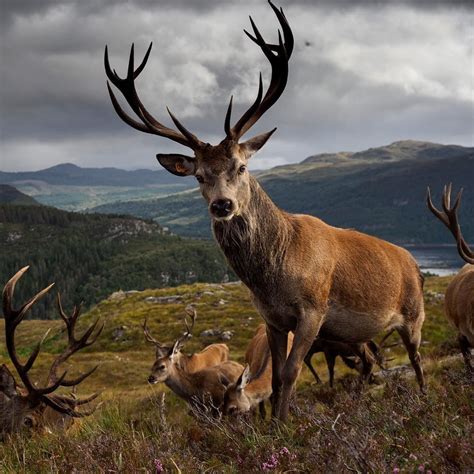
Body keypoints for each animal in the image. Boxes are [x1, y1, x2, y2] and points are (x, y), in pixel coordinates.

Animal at [106, 0, 426, 422]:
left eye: (241, 167)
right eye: (199, 176)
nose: (222, 204)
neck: (272, 277)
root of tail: (413, 261)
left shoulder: (313, 310)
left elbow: (290, 372)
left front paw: (285, 424)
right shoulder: (272, 318)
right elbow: (274, 376)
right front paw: (276, 424)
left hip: (414, 313)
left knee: (417, 357)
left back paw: (426, 398)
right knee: (376, 360)